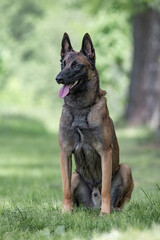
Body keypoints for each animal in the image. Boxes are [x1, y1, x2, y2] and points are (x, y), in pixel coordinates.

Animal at [55, 32, 133, 215]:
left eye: (76, 66)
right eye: (63, 63)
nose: (58, 78)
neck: (80, 108)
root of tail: (92, 205)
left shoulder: (105, 152)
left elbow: (105, 189)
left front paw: (104, 213)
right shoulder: (65, 152)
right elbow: (65, 189)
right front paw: (65, 212)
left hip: (126, 168)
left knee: (118, 200)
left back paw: (113, 210)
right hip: (75, 175)